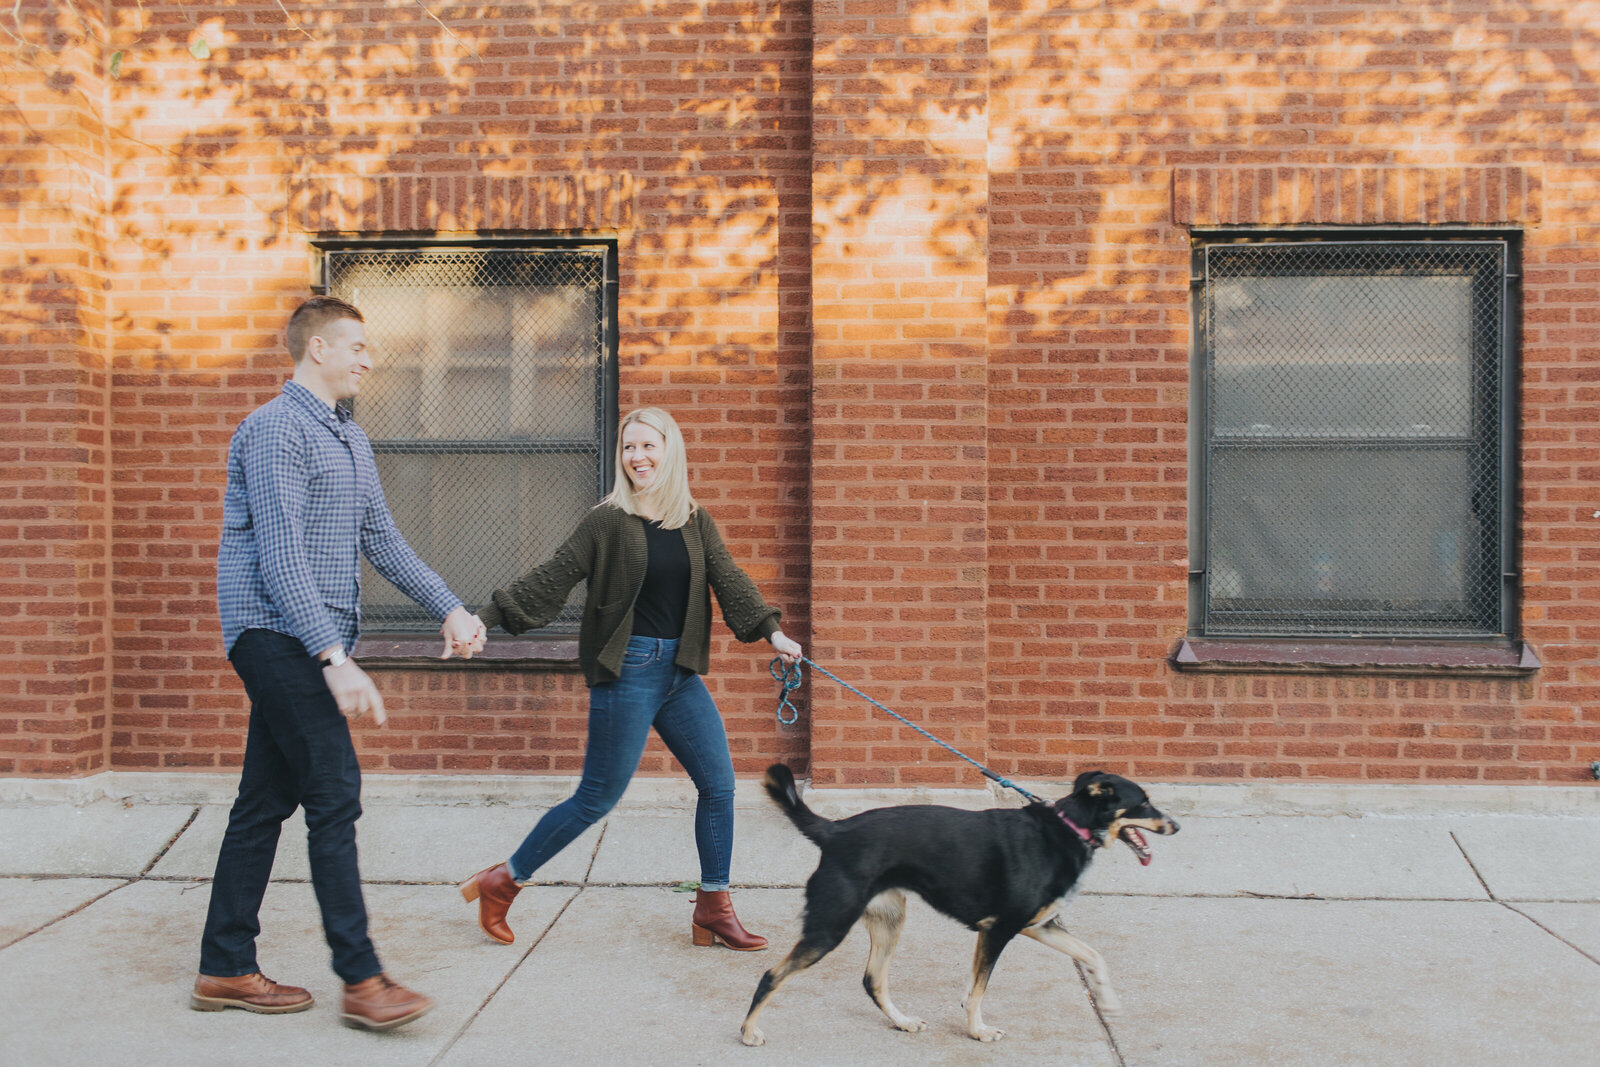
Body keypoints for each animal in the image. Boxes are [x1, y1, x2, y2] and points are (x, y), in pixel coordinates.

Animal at [739, 764, 1177, 1049]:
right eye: (1144, 803)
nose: (1176, 826)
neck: (1068, 828)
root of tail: (834, 830)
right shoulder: (999, 930)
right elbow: (980, 989)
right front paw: (978, 1031)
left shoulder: (1038, 925)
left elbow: (1092, 955)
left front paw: (1108, 1001)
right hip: (829, 927)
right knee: (771, 975)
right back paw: (747, 1032)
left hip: (889, 919)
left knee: (873, 979)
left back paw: (902, 1021)